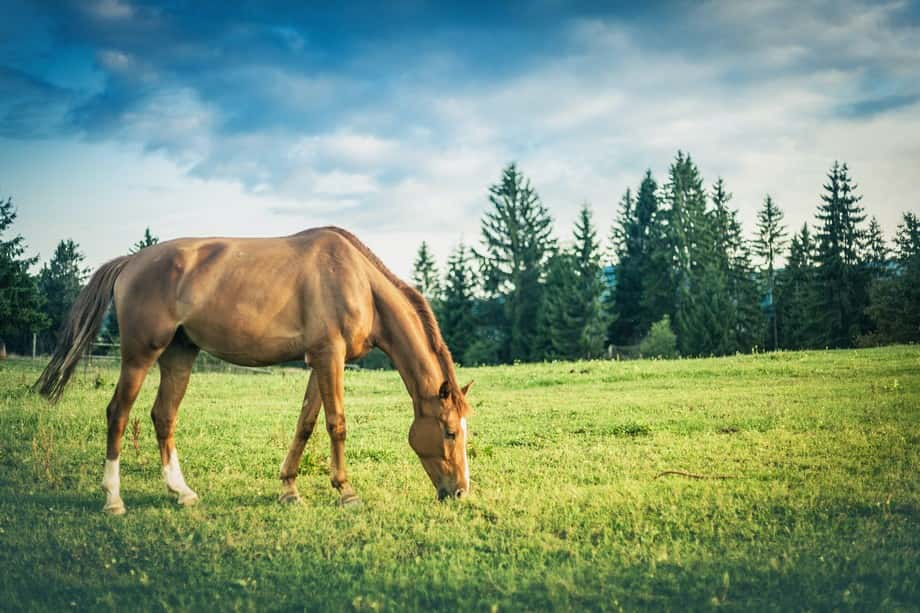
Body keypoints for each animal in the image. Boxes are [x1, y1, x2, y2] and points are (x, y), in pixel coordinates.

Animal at [34, 225, 474, 512]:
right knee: (118, 414)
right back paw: (113, 499)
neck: (357, 281)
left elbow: (305, 424)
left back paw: (182, 492)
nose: (459, 492)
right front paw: (346, 491)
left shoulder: (319, 361)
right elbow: (337, 424)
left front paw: (289, 490)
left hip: (179, 356)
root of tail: (130, 262)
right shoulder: (329, 356)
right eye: (450, 432)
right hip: (140, 354)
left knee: (163, 416)